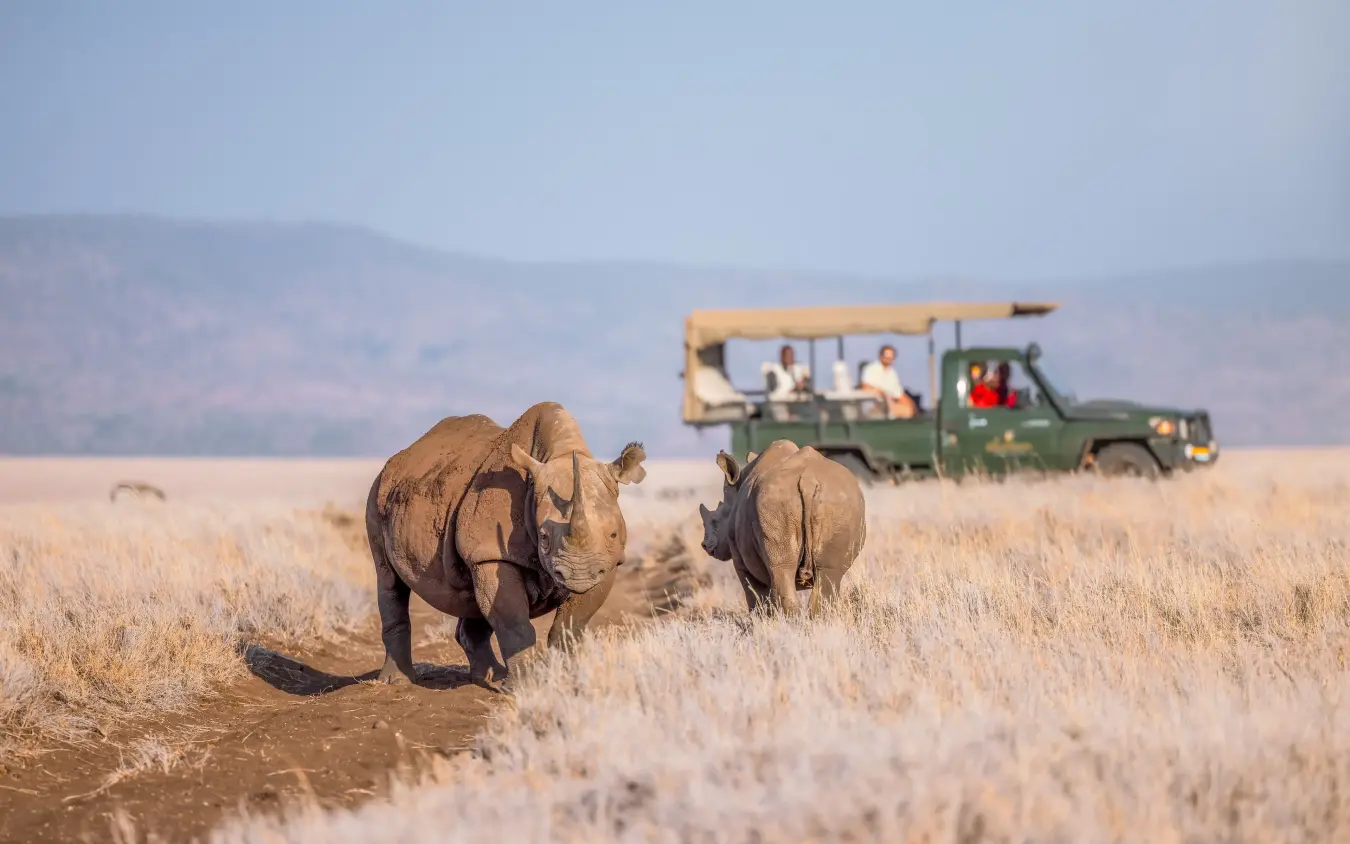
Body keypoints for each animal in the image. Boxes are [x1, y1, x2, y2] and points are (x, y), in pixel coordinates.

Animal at [366, 401, 647, 692]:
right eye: (543, 537)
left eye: (613, 534)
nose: (577, 575)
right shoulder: (492, 554)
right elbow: (514, 624)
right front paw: (523, 688)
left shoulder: (607, 562)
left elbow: (570, 625)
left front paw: (565, 682)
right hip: (376, 497)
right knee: (389, 581)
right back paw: (396, 681)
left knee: (471, 596)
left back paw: (489, 677)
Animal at [698, 440, 866, 616]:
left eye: (716, 521)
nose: (705, 545)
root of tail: (808, 481)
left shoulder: (740, 560)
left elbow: (754, 596)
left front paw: (759, 620)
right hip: (837, 503)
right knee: (828, 573)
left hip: (776, 505)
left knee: (782, 571)